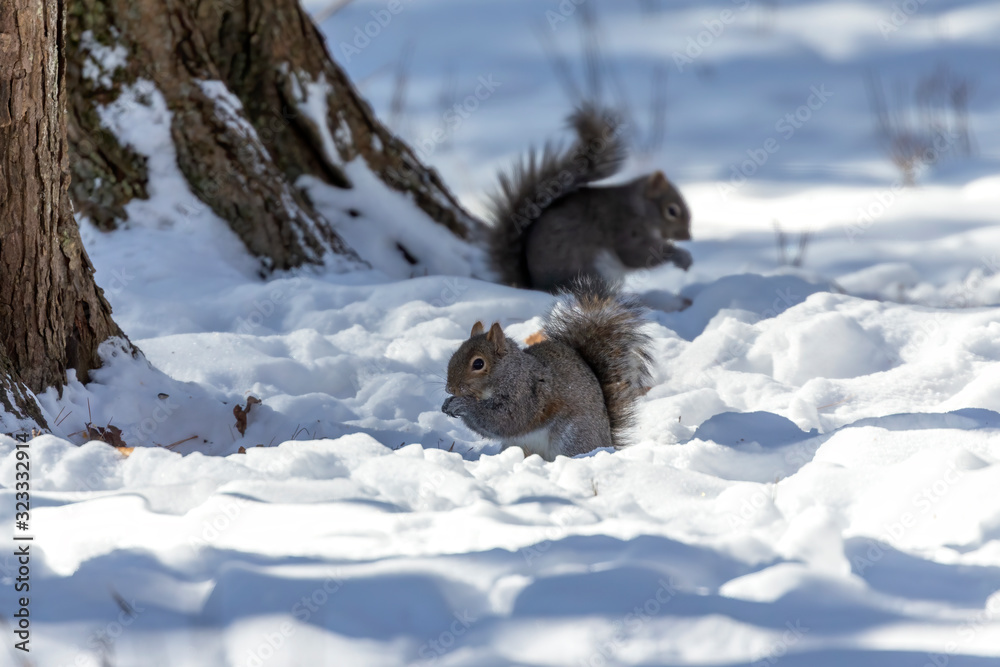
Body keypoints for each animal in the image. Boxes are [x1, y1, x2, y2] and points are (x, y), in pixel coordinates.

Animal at [442, 276, 652, 460]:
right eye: (454, 354)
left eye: (478, 363)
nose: (450, 388)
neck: (509, 372)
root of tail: (607, 443)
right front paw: (448, 403)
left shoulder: (526, 395)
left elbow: (504, 420)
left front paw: (462, 404)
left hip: (571, 438)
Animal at [486, 105, 692, 292]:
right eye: (672, 211)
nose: (688, 236)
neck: (638, 207)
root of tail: (534, 286)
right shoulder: (624, 227)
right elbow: (637, 254)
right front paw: (680, 256)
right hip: (589, 271)